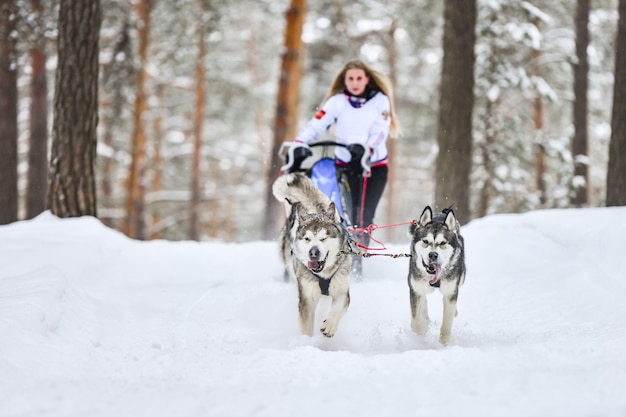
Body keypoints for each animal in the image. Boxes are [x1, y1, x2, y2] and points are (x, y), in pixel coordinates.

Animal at [272, 171, 354, 336]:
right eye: (307, 239)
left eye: (323, 238)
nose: (313, 253)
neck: (324, 275)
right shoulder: (306, 298)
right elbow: (306, 327)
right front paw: (307, 341)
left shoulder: (342, 292)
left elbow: (337, 309)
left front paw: (329, 325)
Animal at [404, 205, 464, 344]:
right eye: (425, 241)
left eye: (442, 243)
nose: (433, 255)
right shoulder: (415, 290)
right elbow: (415, 322)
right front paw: (422, 329)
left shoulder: (450, 292)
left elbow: (447, 321)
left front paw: (444, 341)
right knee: (424, 301)